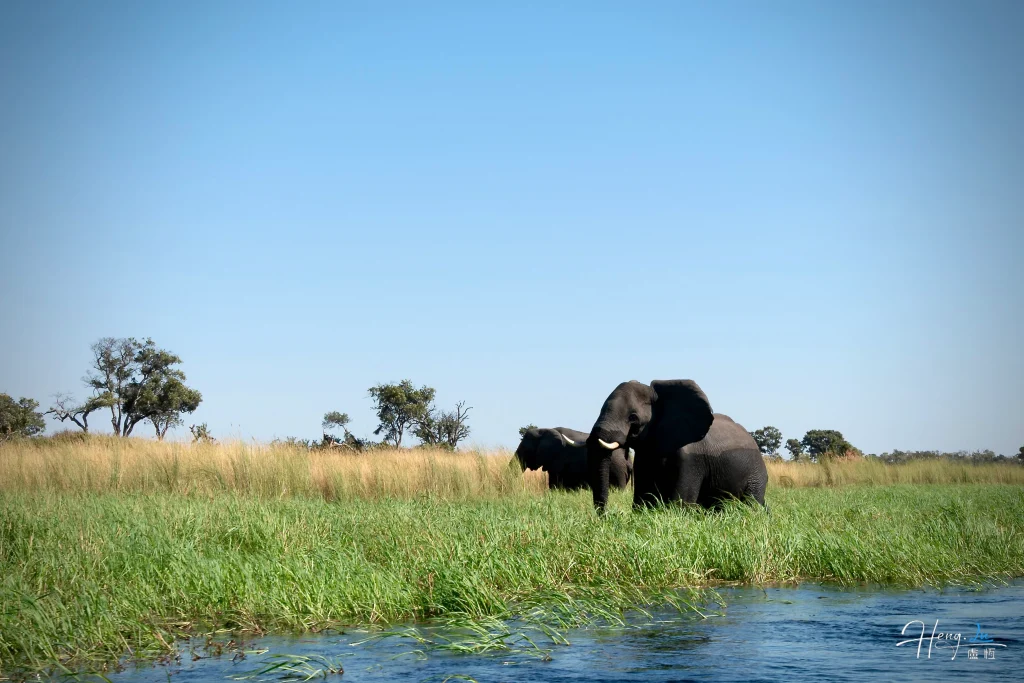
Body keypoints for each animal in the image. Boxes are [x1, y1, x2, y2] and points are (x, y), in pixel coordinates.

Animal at [586, 380, 767, 512]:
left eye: (633, 418)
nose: (609, 515)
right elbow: (643, 498)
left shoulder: (690, 459)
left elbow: (680, 503)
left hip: (756, 473)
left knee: (752, 502)